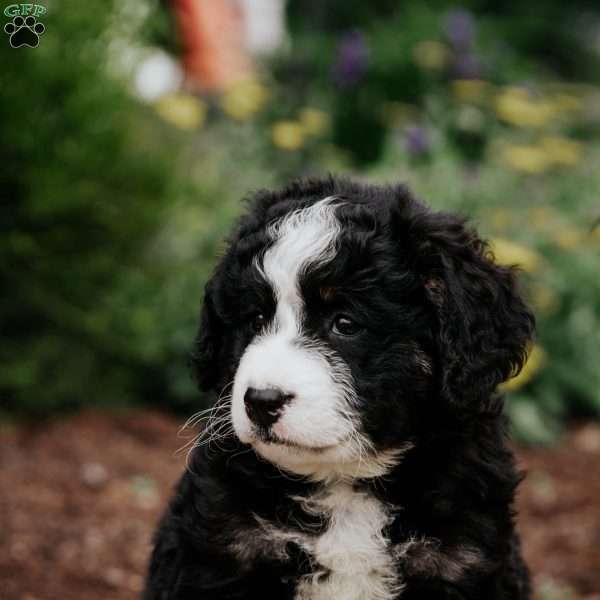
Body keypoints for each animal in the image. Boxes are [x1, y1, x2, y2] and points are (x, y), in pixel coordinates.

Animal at [144, 177, 536, 600]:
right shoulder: (227, 548)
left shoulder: (460, 561)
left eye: (345, 324)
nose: (261, 401)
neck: (345, 484)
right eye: (256, 319)